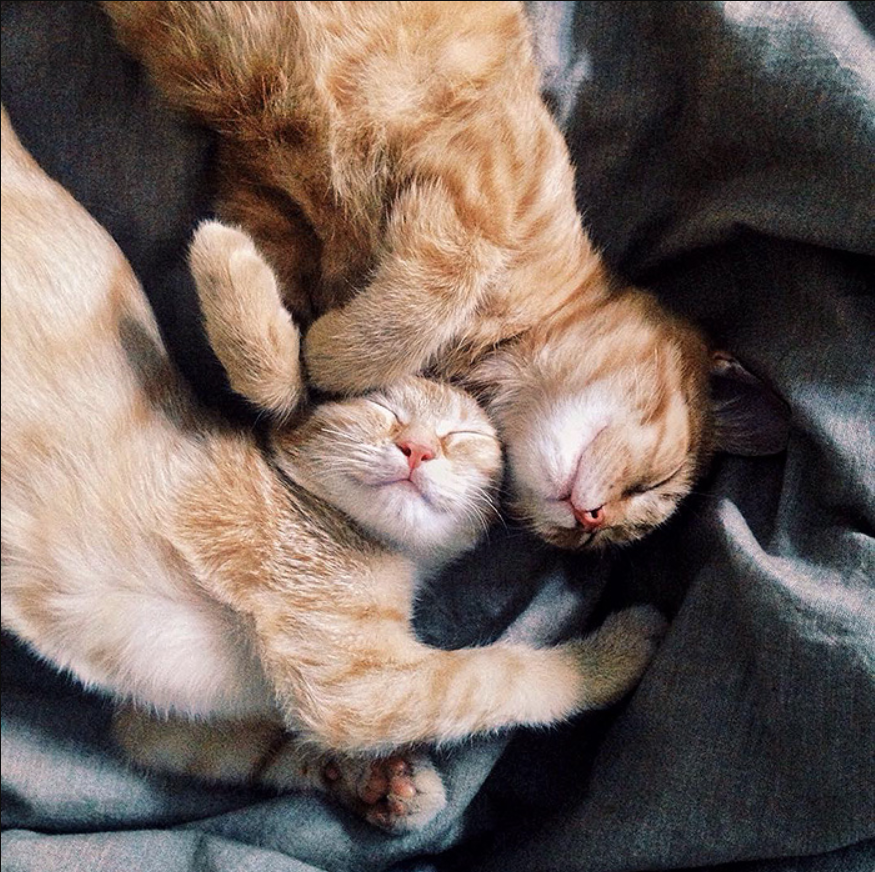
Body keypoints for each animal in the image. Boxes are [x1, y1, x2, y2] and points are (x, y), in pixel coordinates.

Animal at [0, 107, 668, 832]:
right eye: (380, 408)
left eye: (461, 438)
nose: (417, 448)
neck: (391, 558)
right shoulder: (359, 685)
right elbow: (504, 677)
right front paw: (616, 652)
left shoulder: (161, 725)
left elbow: (266, 747)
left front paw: (382, 784)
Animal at [104, 1, 792, 552]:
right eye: (654, 484)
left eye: (592, 544)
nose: (589, 522)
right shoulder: (478, 180)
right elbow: (426, 296)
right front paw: (334, 356)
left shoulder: (268, 204)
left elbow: (275, 379)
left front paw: (245, 285)